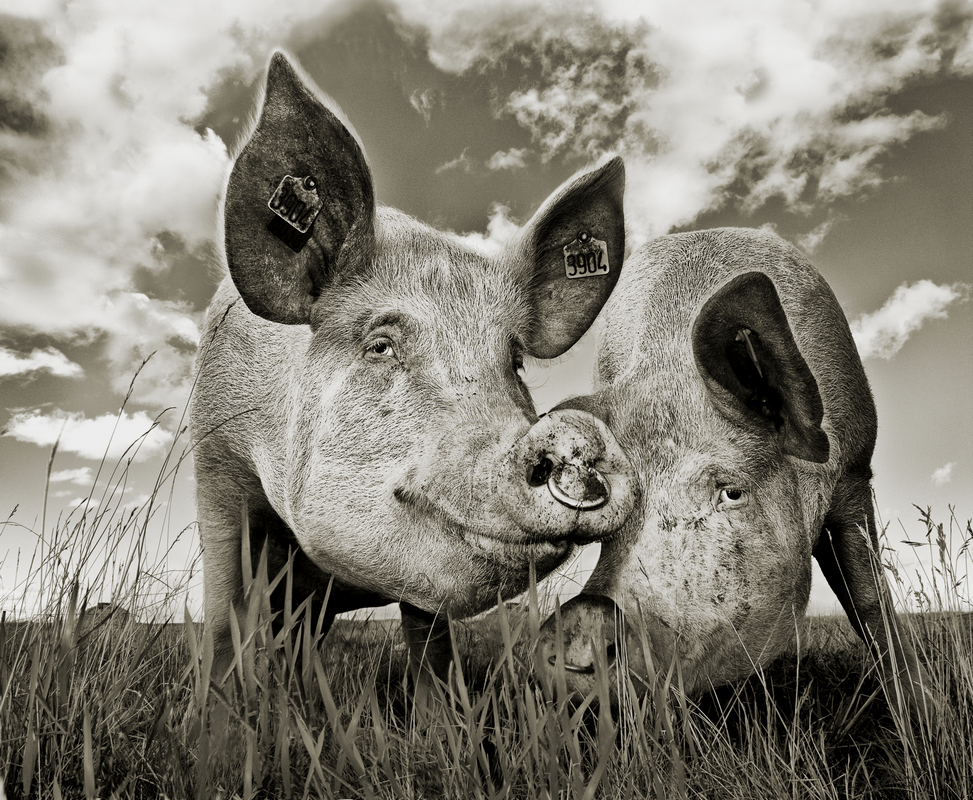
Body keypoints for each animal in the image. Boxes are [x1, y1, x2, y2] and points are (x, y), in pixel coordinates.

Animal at [189, 52, 637, 691]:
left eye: (514, 361)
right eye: (380, 345)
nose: (571, 433)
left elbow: (431, 647)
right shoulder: (216, 461)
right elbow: (224, 614)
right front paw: (221, 712)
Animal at [538, 228, 927, 715]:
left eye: (731, 492)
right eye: (611, 523)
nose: (582, 620)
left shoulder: (855, 472)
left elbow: (869, 600)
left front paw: (921, 712)